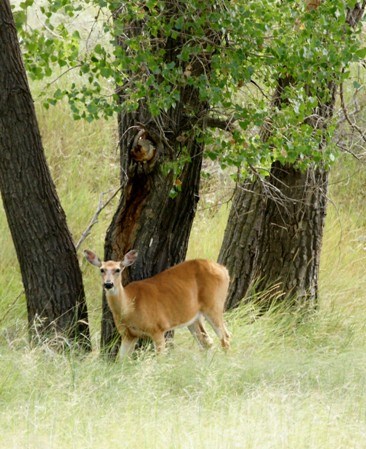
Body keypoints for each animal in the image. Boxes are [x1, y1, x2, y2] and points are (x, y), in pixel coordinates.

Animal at [84, 248, 230, 356]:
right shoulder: (128, 334)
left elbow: (160, 358)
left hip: (214, 305)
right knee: (207, 342)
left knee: (225, 337)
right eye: (102, 269)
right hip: (194, 318)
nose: (108, 284)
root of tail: (224, 270)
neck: (130, 307)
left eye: (118, 269)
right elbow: (122, 361)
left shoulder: (158, 327)